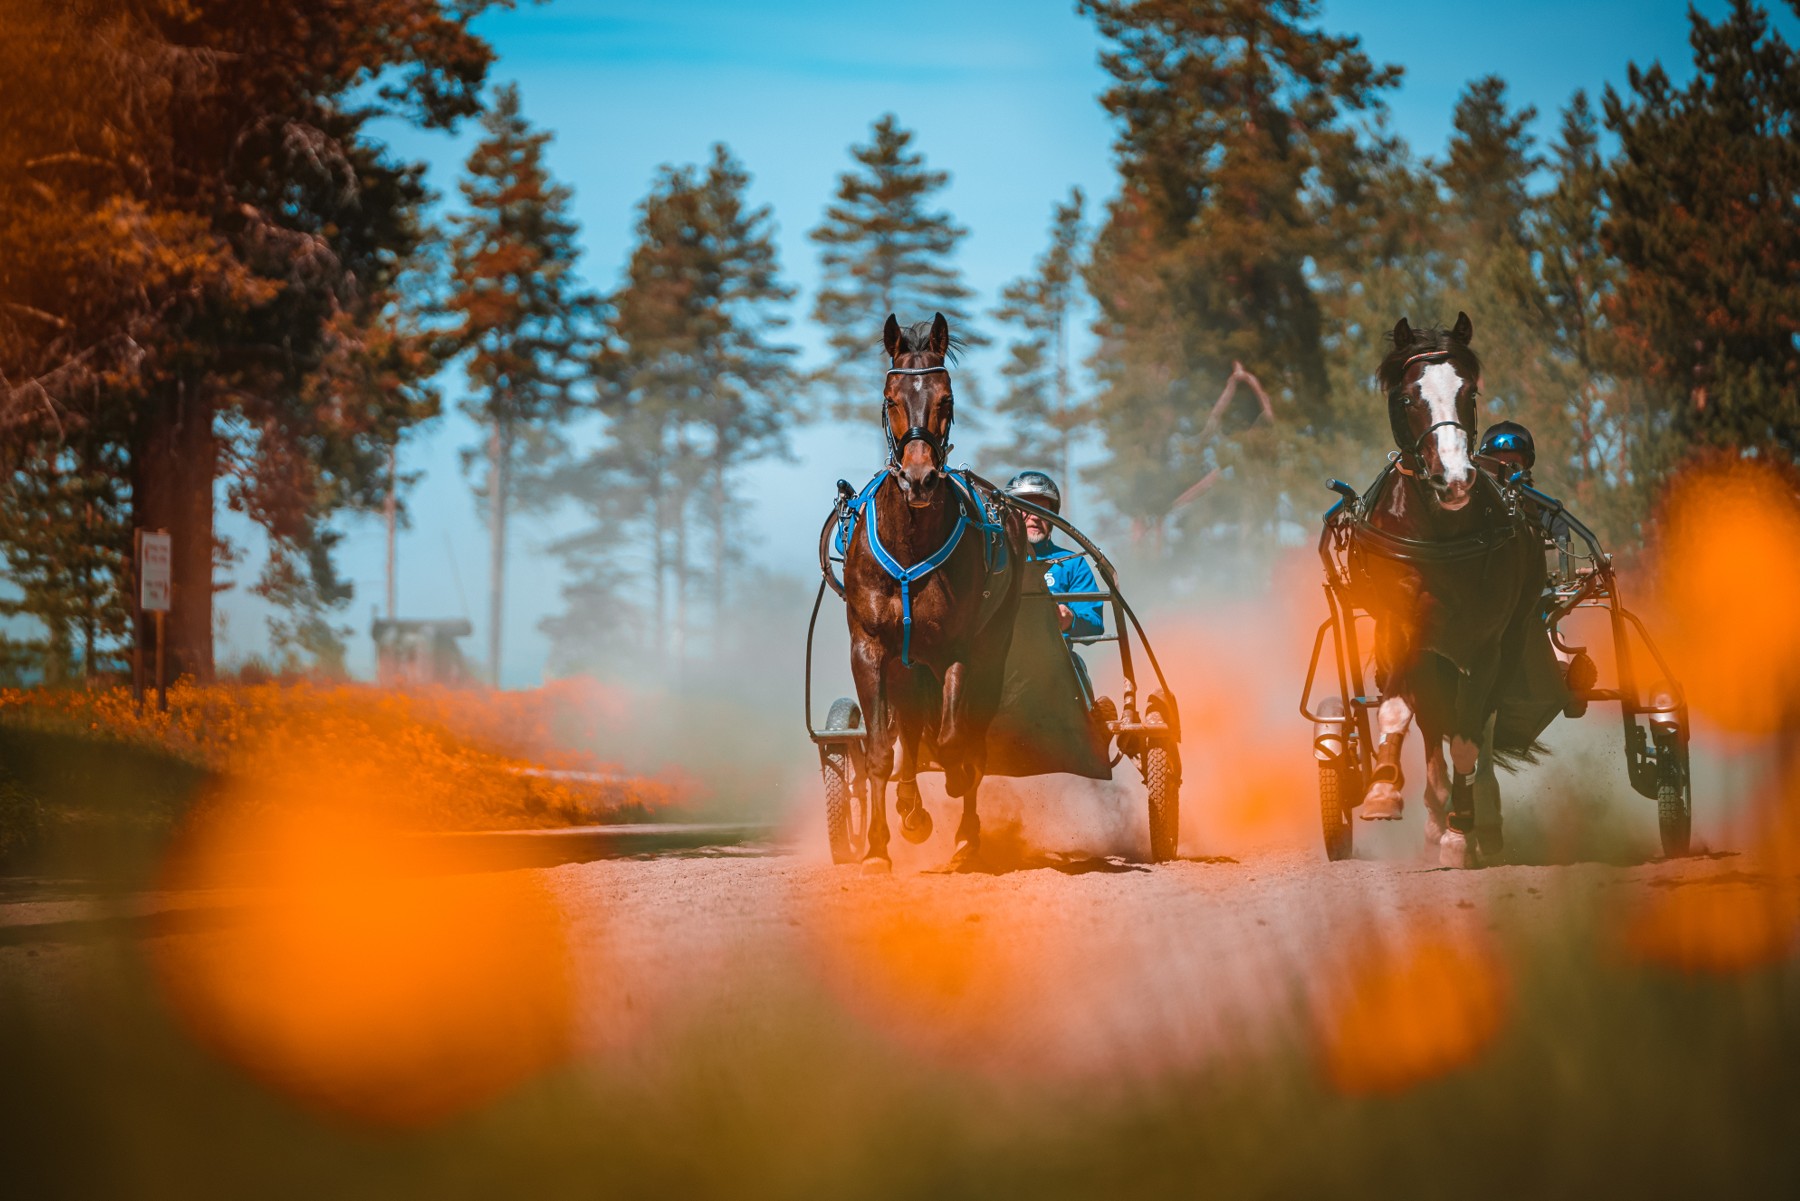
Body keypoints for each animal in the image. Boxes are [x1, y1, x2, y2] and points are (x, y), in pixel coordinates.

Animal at [841, 312, 1025, 872]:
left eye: (946, 398)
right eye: (891, 398)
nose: (920, 478)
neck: (910, 549)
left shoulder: (956, 650)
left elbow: (951, 741)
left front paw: (955, 791)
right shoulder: (870, 647)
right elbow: (882, 750)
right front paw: (878, 847)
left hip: (990, 648)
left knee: (970, 735)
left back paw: (966, 836)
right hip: (906, 661)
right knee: (908, 728)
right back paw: (910, 808)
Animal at [1349, 313, 1561, 868]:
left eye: (1470, 392)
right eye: (1407, 397)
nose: (1456, 478)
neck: (1439, 535)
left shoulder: (1483, 647)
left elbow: (1467, 736)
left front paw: (1461, 832)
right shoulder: (1399, 627)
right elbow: (1400, 709)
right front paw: (1384, 789)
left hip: (1505, 644)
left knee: (1479, 723)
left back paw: (1477, 817)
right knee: (1430, 720)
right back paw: (1433, 811)